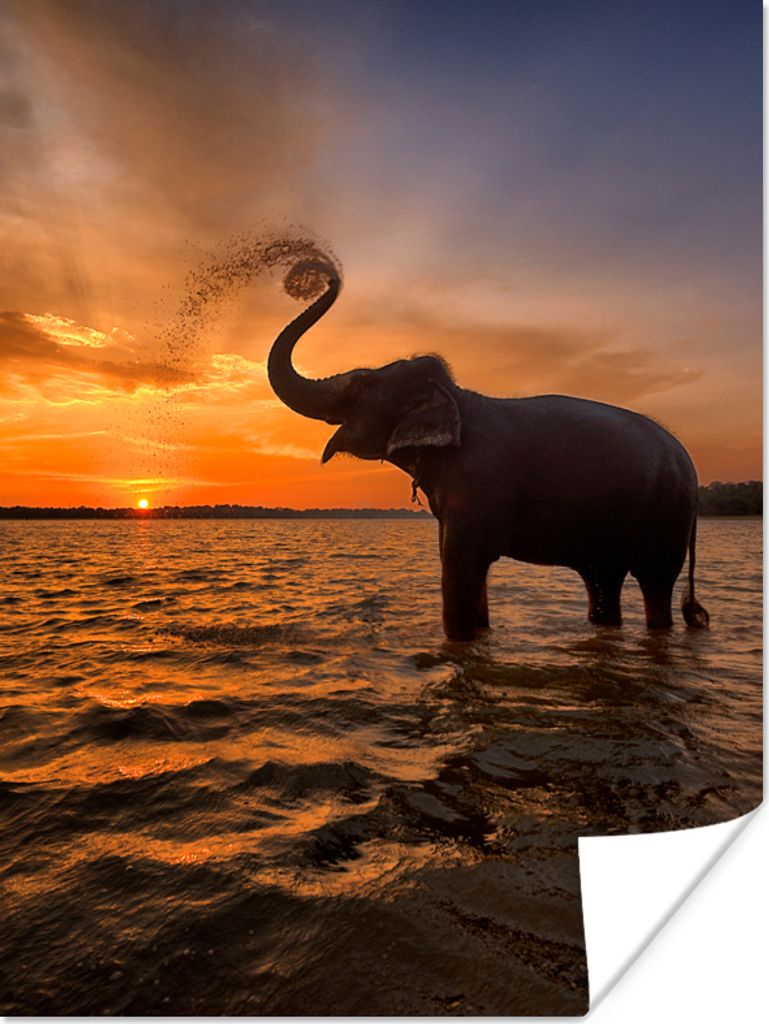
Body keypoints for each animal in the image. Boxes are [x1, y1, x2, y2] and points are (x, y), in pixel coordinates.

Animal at [267, 266, 710, 642]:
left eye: (361, 383)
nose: (321, 275)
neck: (460, 399)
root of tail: (689, 463)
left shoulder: (478, 479)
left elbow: (461, 565)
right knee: (603, 581)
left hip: (666, 516)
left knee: (655, 584)